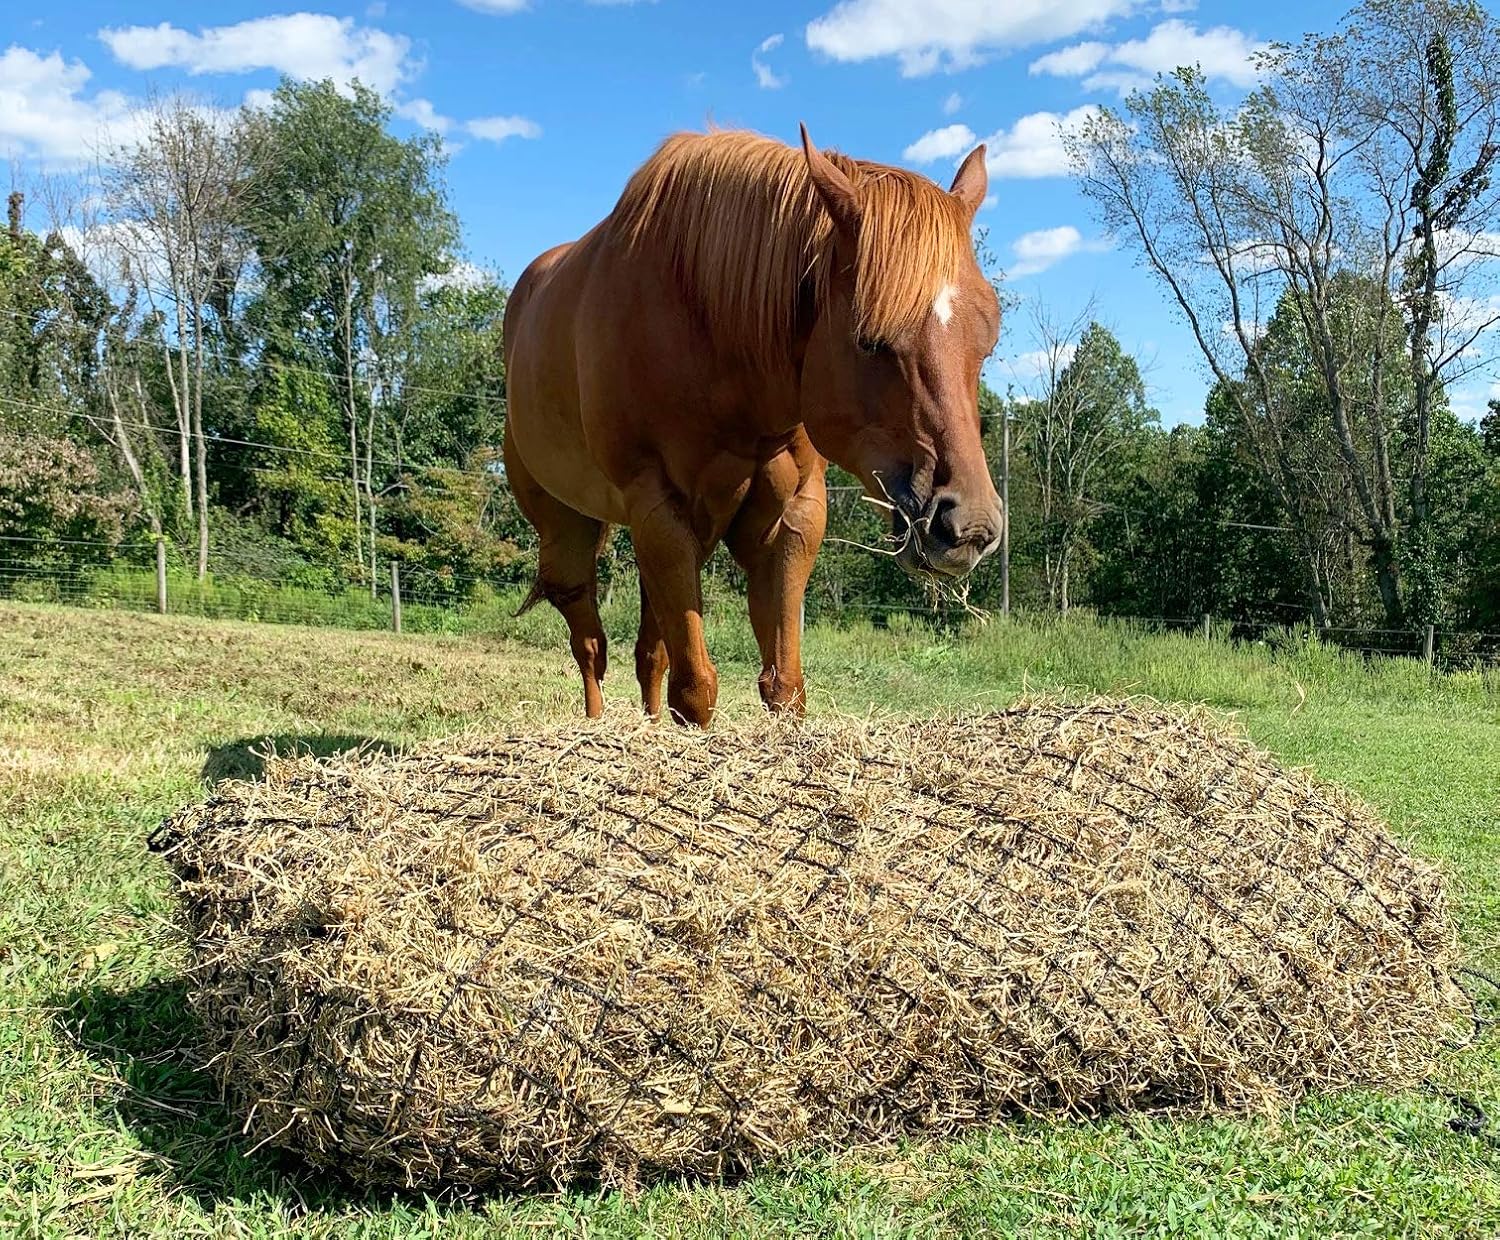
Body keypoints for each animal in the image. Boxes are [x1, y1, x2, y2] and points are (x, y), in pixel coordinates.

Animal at [502, 125, 1004, 727]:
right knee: (589, 643)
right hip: (569, 529)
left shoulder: (789, 516)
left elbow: (782, 686)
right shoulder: (659, 510)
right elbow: (695, 691)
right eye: (869, 339)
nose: (969, 527)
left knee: (648, 653)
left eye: (988, 340)